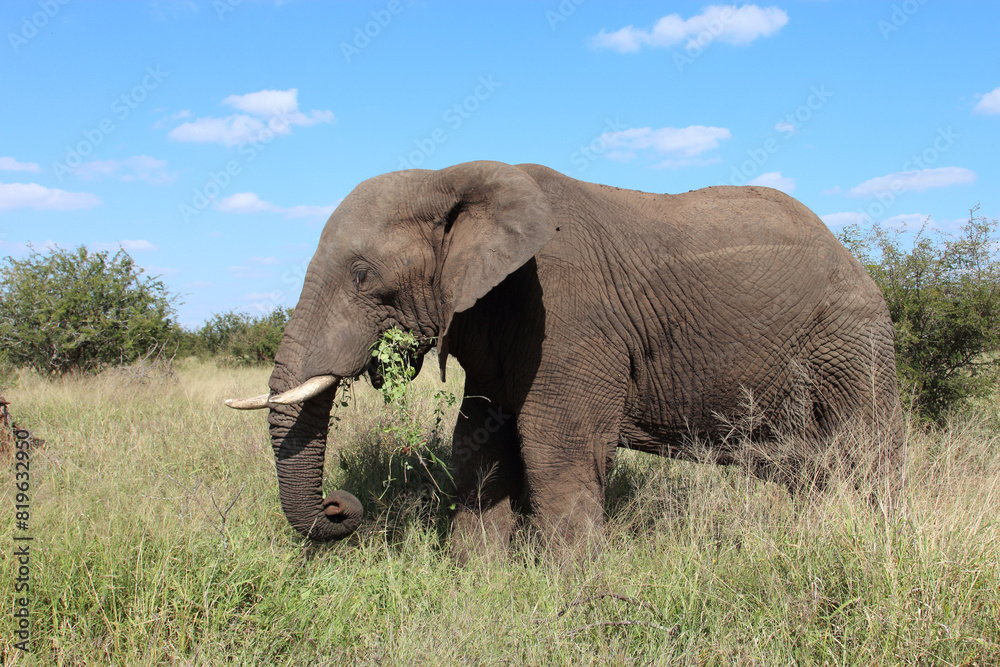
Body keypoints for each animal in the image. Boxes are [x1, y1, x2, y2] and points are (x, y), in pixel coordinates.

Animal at [226, 160, 902, 554]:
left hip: (853, 343)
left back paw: (872, 538)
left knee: (864, 452)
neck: (452, 174)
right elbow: (478, 441)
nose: (340, 505)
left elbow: (557, 443)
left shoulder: (570, 310)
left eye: (363, 275)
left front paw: (575, 590)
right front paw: (481, 576)